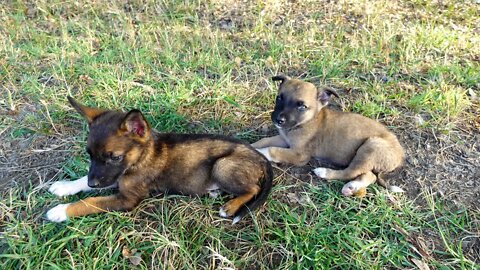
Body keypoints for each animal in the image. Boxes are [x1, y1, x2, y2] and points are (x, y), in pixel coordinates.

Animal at [48, 97, 274, 224]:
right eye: (89, 155)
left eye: (115, 157)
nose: (92, 183)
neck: (141, 157)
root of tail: (261, 157)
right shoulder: (114, 177)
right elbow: (83, 182)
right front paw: (64, 187)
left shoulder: (128, 198)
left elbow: (90, 202)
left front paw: (61, 211)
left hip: (222, 165)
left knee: (253, 188)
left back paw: (231, 206)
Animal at [251, 75, 404, 197]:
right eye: (279, 98)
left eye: (302, 106)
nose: (278, 119)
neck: (307, 121)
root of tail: (400, 156)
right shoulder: (284, 139)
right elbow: (264, 140)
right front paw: (250, 146)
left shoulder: (300, 155)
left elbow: (272, 149)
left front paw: (260, 153)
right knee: (369, 175)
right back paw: (352, 187)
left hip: (369, 147)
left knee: (350, 172)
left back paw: (324, 173)